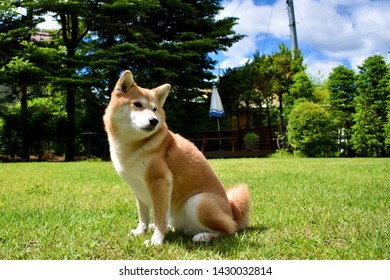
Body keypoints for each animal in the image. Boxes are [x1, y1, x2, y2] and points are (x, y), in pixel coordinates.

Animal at [103, 70, 250, 245]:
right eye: (137, 104)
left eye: (154, 109)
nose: (154, 121)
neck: (134, 146)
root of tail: (232, 211)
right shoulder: (138, 188)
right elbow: (143, 215)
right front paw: (141, 231)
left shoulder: (160, 182)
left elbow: (159, 216)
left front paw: (156, 240)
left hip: (198, 201)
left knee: (228, 230)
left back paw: (203, 236)